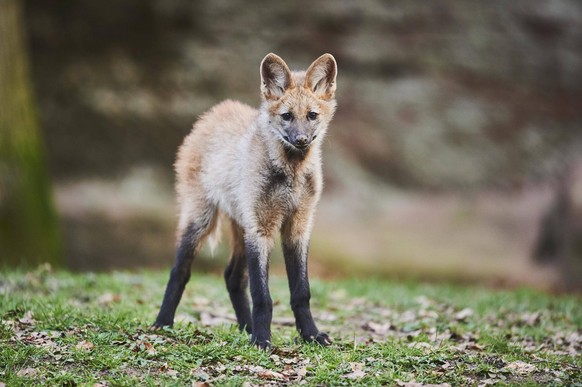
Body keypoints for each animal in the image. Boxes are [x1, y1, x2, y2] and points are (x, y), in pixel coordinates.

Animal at [153, 53, 340, 348]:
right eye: (287, 116)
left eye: (312, 115)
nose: (301, 140)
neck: (290, 174)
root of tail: (215, 111)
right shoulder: (261, 230)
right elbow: (262, 296)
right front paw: (262, 340)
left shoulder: (297, 227)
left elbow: (301, 293)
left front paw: (310, 334)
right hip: (201, 221)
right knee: (179, 271)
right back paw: (162, 323)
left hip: (241, 226)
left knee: (232, 278)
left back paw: (247, 327)